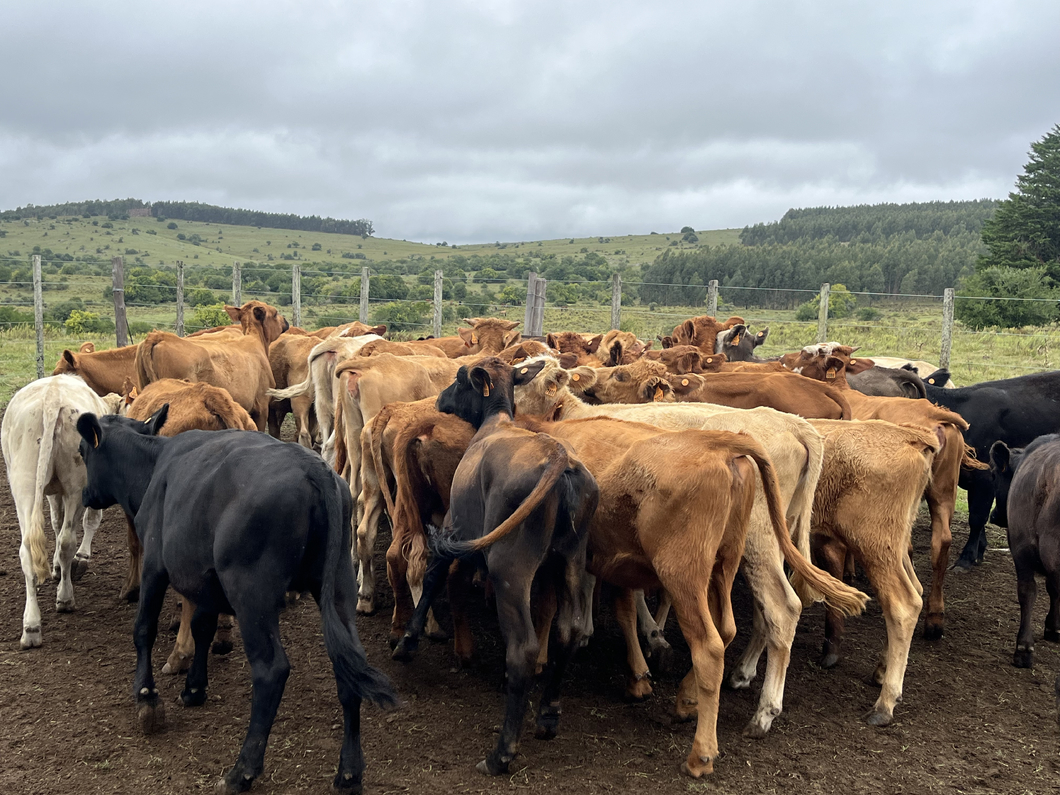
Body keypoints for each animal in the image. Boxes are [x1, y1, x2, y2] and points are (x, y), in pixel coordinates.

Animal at [1, 375, 122, 648]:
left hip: (24, 486)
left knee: (27, 550)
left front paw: (56, 566)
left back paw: (31, 626)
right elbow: (87, 522)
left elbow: (55, 523)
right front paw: (76, 563)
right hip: (76, 486)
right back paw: (65, 598)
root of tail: (52, 397)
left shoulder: (52, 491)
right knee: (67, 541)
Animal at [76, 412, 398, 793]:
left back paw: (243, 769)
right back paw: (349, 771)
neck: (155, 465)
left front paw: (146, 697)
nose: (85, 494)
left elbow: (144, 629)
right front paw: (194, 688)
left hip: (251, 594)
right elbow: (202, 627)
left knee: (271, 670)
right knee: (347, 664)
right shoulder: (205, 580)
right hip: (338, 587)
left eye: (82, 451)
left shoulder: (156, 564)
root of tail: (315, 468)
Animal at [392, 358, 599, 776]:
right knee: (569, 630)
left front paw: (408, 642)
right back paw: (548, 714)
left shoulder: (454, 527)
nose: (439, 399)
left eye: (459, 380)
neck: (496, 421)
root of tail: (558, 459)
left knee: (523, 648)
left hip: (510, 567)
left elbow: (435, 576)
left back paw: (501, 752)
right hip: (571, 556)